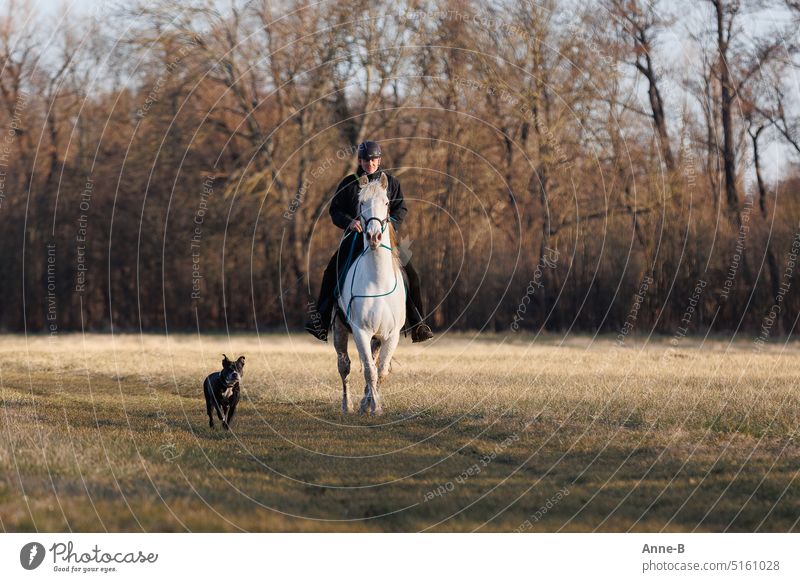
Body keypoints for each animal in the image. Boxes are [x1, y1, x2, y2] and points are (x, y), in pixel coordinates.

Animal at [332, 171, 406, 418]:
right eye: (361, 203)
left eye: (386, 202)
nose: (373, 237)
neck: (378, 281)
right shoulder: (361, 332)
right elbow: (369, 371)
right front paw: (376, 408)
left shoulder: (391, 335)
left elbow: (380, 370)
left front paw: (373, 406)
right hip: (340, 329)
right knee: (344, 366)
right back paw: (348, 405)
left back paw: (365, 403)